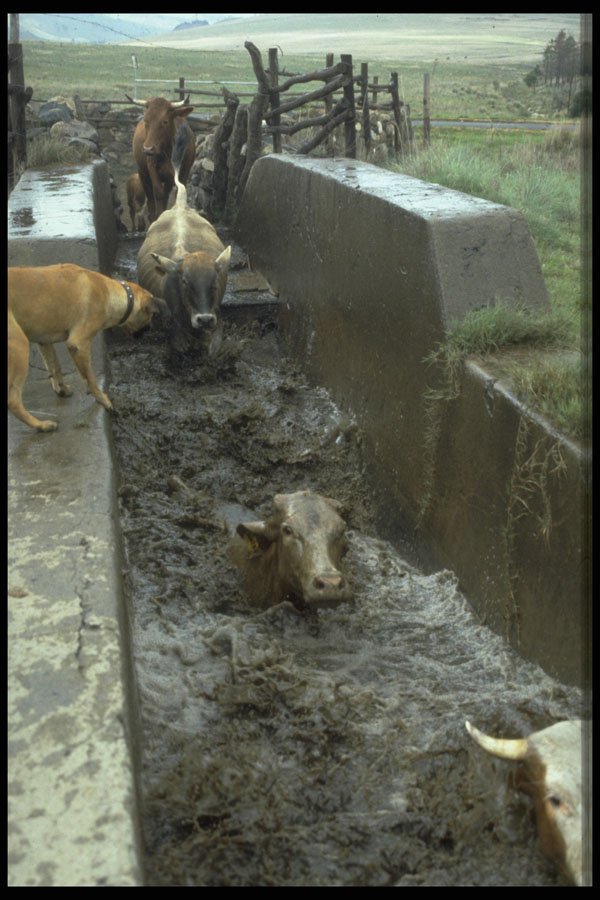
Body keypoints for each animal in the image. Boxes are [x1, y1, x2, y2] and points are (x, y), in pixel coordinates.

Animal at [127, 94, 195, 224]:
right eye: (146, 120)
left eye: (165, 121)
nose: (147, 149)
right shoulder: (151, 167)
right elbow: (158, 192)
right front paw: (158, 217)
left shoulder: (184, 170)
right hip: (143, 174)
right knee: (150, 197)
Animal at [136, 124, 231, 358]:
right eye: (186, 282)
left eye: (214, 281)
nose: (204, 319)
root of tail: (179, 205)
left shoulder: (217, 314)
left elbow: (215, 344)